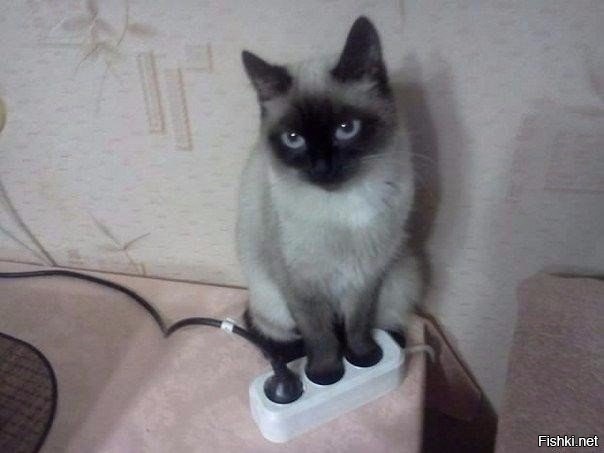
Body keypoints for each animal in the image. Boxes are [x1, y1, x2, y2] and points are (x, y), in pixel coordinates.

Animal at [237, 16, 420, 385]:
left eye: (346, 128)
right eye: (293, 138)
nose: (321, 167)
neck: (345, 207)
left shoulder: (367, 274)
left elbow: (358, 324)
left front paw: (364, 359)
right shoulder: (301, 284)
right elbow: (319, 335)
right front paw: (325, 375)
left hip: (401, 278)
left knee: (380, 321)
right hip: (271, 301)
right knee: (279, 338)